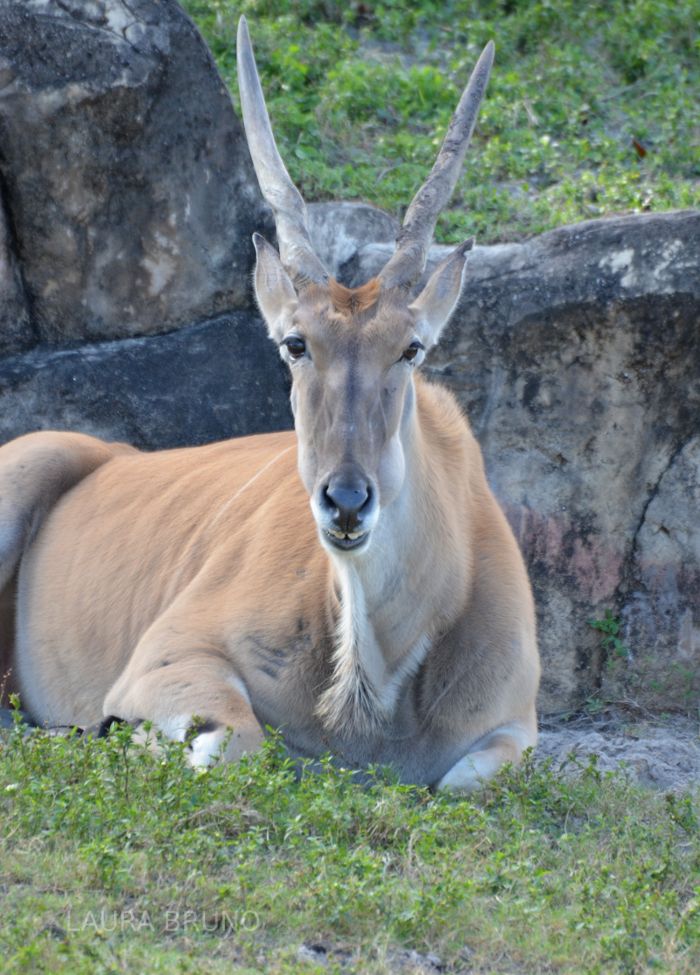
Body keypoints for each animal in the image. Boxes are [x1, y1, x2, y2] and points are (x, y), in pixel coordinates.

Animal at [0, 19, 540, 788]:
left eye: (411, 348)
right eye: (295, 343)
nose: (346, 501)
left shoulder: (515, 730)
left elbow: (461, 779)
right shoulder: (167, 658)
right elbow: (233, 742)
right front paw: (125, 735)